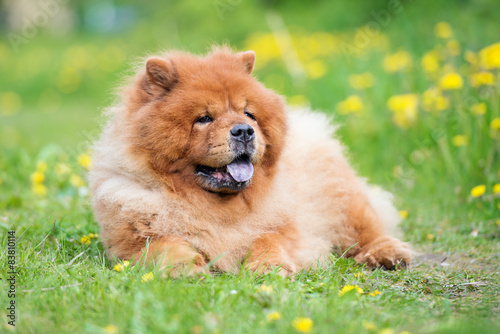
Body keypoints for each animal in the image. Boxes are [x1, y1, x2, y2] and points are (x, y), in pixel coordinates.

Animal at [89, 47, 410, 276]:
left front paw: (268, 267)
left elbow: (267, 238)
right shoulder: (132, 240)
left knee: (368, 230)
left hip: (341, 198)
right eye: (204, 119)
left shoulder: (289, 230)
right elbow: (165, 244)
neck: (218, 208)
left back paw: (389, 255)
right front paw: (184, 268)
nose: (244, 130)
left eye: (248, 114)